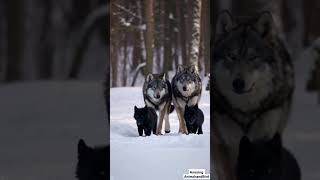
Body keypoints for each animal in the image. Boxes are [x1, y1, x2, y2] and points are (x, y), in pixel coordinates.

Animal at [212, 11, 296, 180]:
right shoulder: (225, 147)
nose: (238, 83)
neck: (246, 111)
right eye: (231, 56)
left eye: (253, 58)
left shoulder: (265, 137)